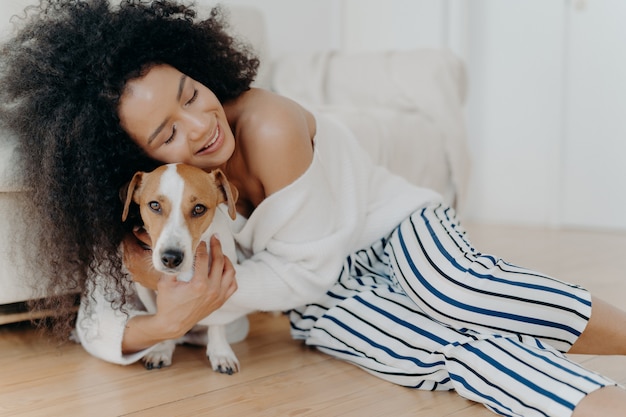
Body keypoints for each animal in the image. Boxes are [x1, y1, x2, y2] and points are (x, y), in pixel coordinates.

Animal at [120, 162, 240, 374]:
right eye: (155, 205)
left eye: (199, 208)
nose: (171, 258)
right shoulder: (144, 289)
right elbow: (162, 319)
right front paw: (162, 349)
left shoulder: (221, 280)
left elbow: (217, 321)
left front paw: (220, 353)